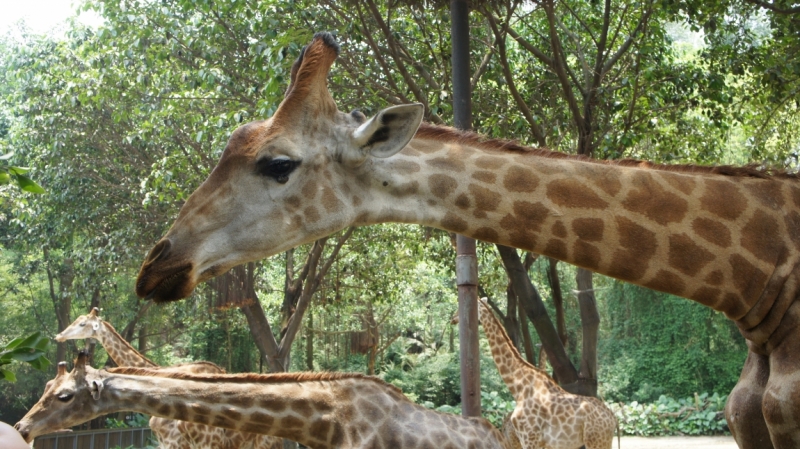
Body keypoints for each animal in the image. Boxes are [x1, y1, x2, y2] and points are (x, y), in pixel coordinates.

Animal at [456, 296, 620, 446]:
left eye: (462, 308)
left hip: (596, 441)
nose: (453, 318)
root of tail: (613, 418)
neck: (518, 387)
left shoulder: (529, 437)